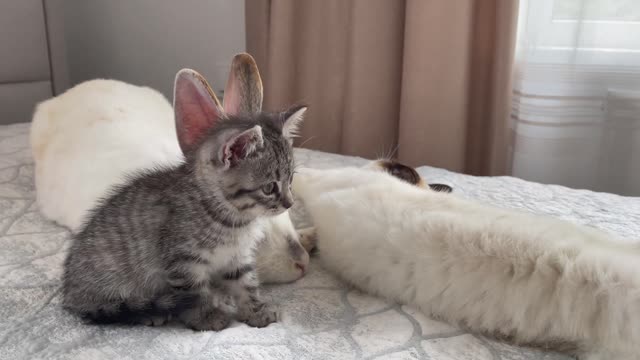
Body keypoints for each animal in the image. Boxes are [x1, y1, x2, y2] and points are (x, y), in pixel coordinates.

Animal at [61, 67, 306, 330]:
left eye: (291, 180)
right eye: (270, 188)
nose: (289, 203)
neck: (232, 219)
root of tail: (69, 292)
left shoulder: (236, 257)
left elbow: (245, 283)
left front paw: (255, 310)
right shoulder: (182, 260)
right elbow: (194, 293)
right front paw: (208, 316)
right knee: (108, 309)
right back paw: (147, 312)